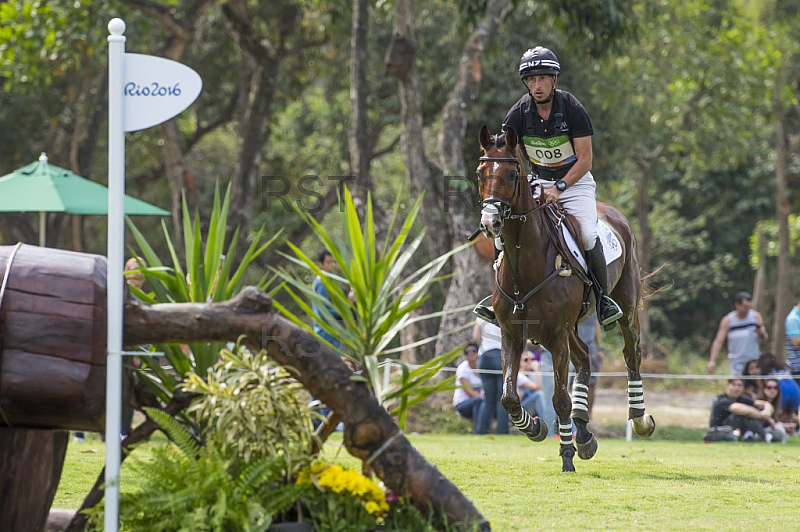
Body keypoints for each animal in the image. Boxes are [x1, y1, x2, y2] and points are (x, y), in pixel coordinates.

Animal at [476, 125, 656, 474]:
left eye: (512, 173)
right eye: (480, 173)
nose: (490, 223)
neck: (525, 261)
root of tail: (613, 213)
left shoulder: (557, 336)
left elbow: (559, 398)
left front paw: (566, 457)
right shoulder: (512, 334)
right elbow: (508, 397)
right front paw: (536, 427)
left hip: (625, 309)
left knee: (631, 355)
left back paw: (639, 419)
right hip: (569, 329)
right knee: (585, 359)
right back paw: (584, 433)